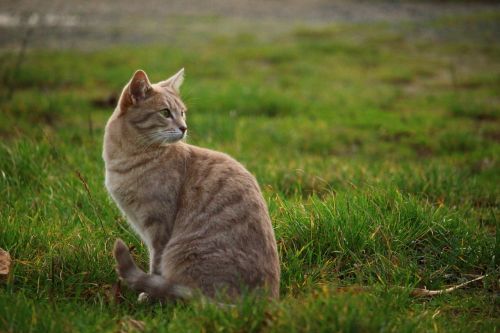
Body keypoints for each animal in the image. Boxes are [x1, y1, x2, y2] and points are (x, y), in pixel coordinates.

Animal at [102, 68, 282, 300]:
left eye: (182, 113)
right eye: (165, 113)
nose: (184, 128)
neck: (129, 157)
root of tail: (262, 303)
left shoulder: (159, 229)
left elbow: (155, 266)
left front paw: (150, 295)